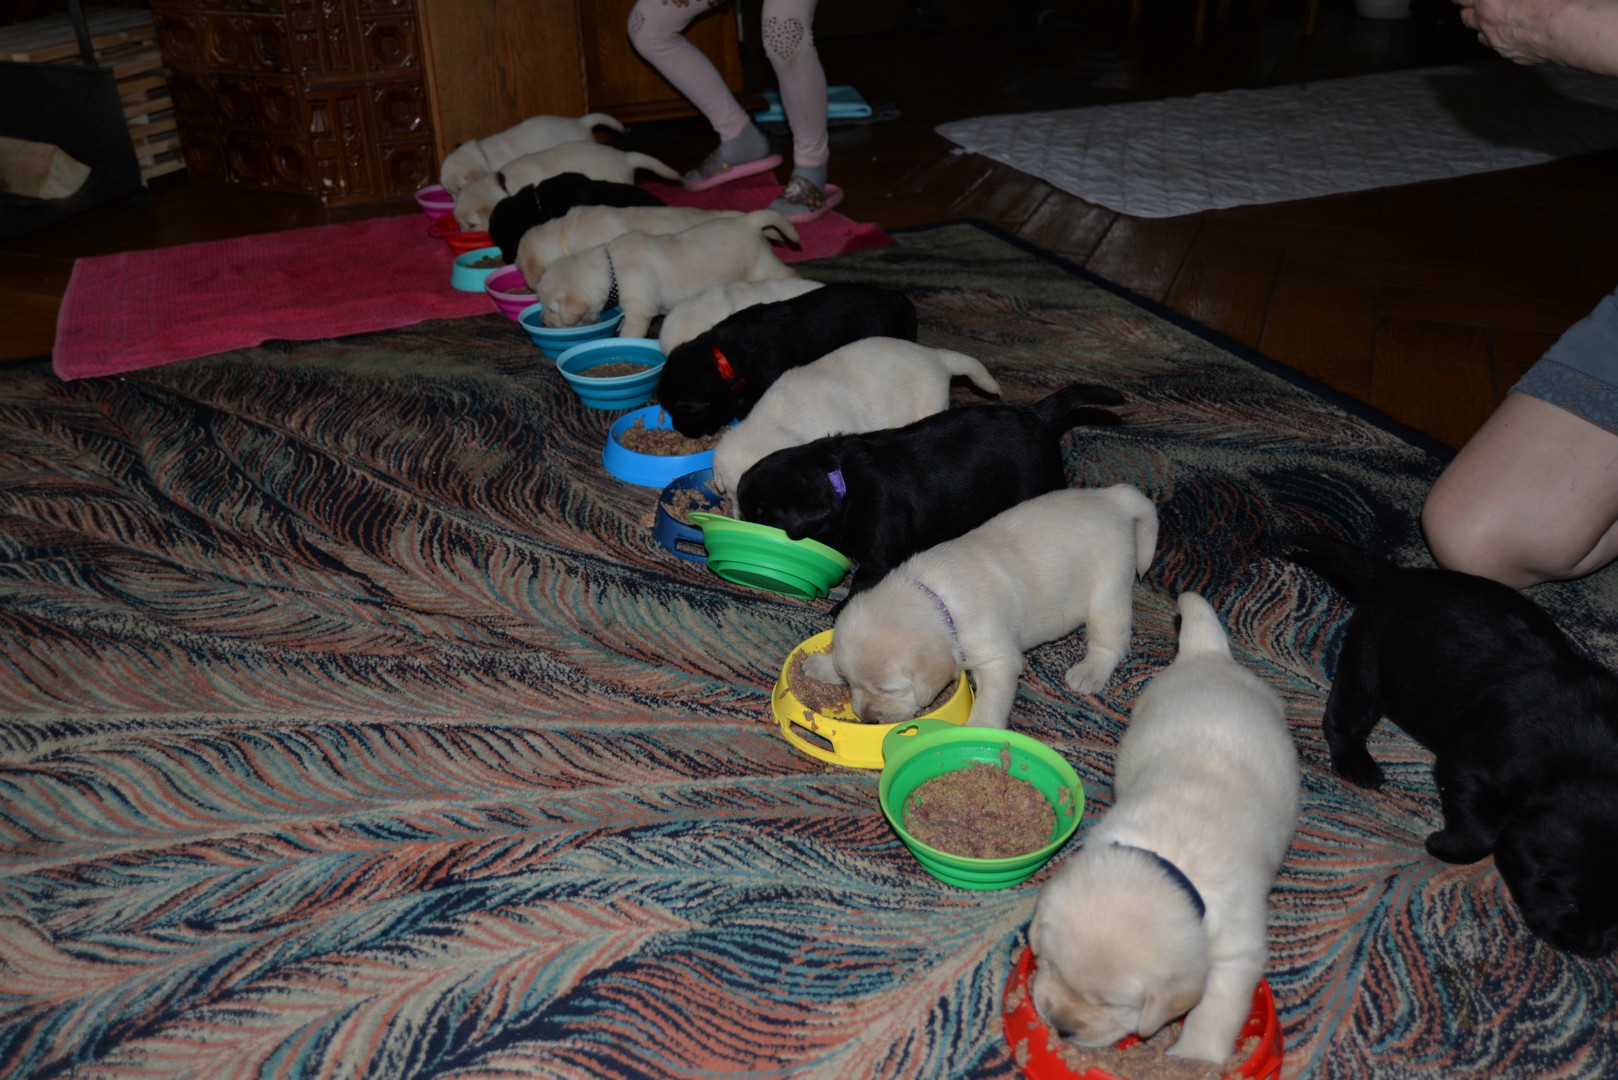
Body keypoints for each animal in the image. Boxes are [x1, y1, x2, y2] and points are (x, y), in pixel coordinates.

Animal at [536, 209, 799, 340]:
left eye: (551, 309)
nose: (543, 323)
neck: (610, 268)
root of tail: (749, 221)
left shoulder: (640, 310)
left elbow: (631, 331)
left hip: (763, 267)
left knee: (788, 272)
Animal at [803, 484, 1158, 729]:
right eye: (849, 682)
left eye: (889, 689)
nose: (868, 719)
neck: (934, 599)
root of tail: (1113, 497)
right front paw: (822, 664)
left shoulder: (998, 659)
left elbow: (991, 699)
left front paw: (980, 730)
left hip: (1108, 591)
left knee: (1111, 640)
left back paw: (1090, 671)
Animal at [1028, 592, 1300, 1064]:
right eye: (1049, 966)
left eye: (1114, 1004)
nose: (1060, 1028)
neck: (1166, 858)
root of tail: (1209, 654)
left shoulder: (1237, 950)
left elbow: (1216, 1007)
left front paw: (1195, 1056)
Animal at [1290, 534, 1618, 958]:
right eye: (1570, 901)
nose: (1592, 949)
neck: (1588, 768)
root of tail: (1395, 575)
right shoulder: (1470, 768)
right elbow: (1481, 834)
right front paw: (1443, 845)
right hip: (1366, 668)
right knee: (1342, 718)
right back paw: (1355, 763)